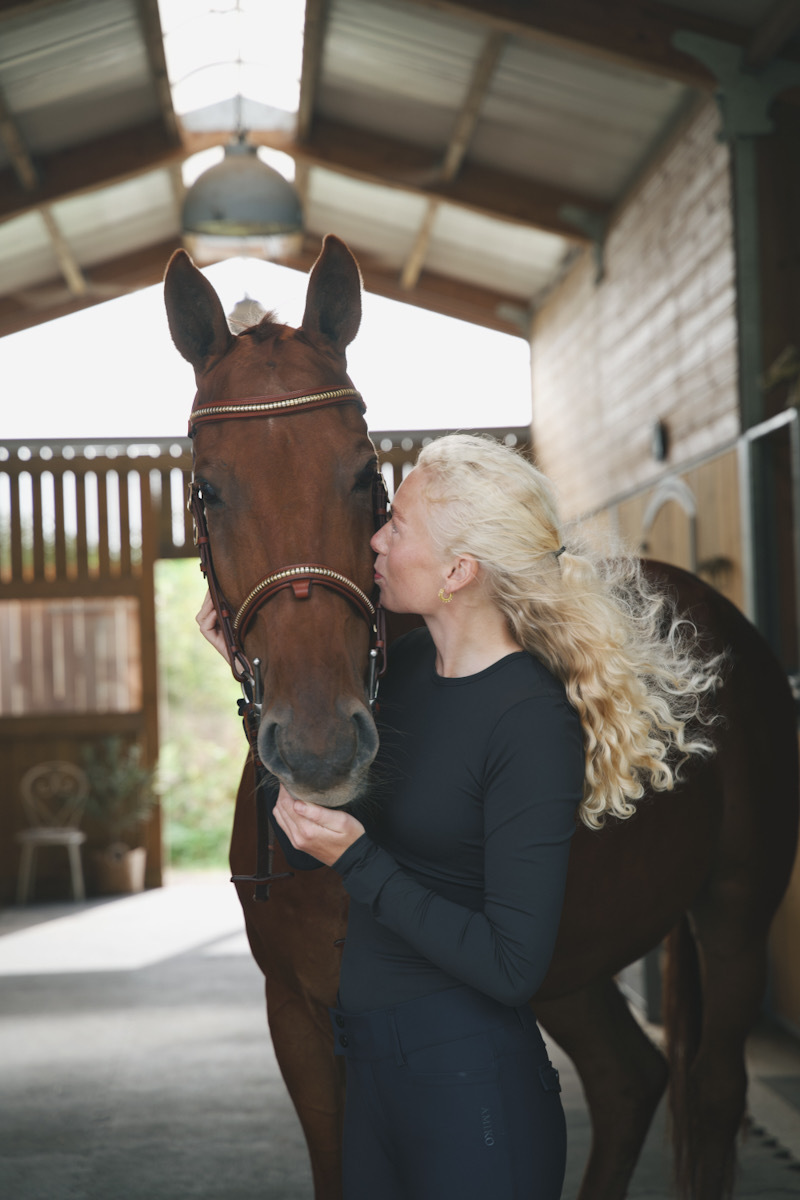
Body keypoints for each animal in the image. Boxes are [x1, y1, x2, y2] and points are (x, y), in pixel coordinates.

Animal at [164, 235, 799, 1200]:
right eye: (207, 490)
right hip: (567, 966)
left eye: (365, 473)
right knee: (627, 1076)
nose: (318, 749)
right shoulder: (300, 1026)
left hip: (733, 911)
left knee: (713, 1090)